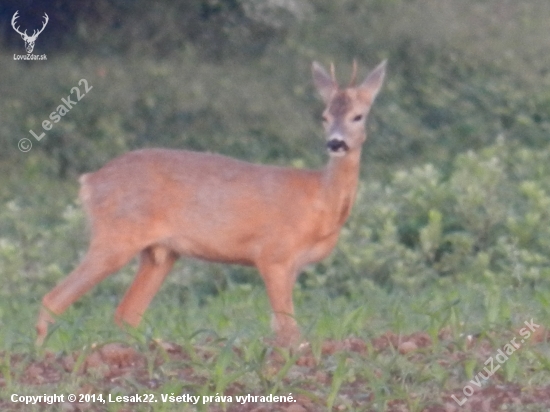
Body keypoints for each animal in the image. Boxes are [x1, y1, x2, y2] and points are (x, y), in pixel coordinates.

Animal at [36, 58, 388, 348]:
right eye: (324, 116)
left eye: (358, 116)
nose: (336, 143)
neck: (321, 203)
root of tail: (89, 181)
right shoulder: (273, 255)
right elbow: (289, 330)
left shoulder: (293, 265)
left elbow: (281, 327)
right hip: (115, 236)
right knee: (53, 299)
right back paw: (42, 354)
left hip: (160, 254)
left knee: (126, 314)